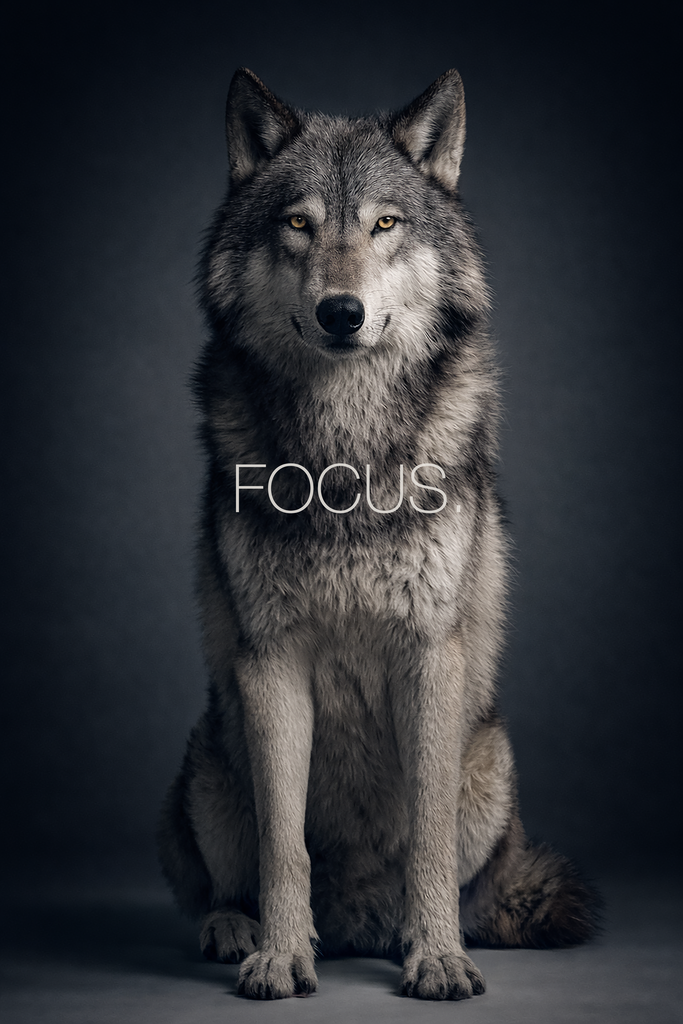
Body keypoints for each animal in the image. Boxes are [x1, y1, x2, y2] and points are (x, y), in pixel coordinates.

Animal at [158, 67, 599, 1001]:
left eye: (384, 224)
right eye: (298, 224)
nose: (340, 311)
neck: (345, 462)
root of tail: (355, 917)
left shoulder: (428, 654)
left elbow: (425, 837)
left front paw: (436, 957)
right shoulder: (270, 660)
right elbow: (282, 844)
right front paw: (280, 956)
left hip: (489, 761)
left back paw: (407, 932)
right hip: (210, 761)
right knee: (221, 880)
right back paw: (234, 928)